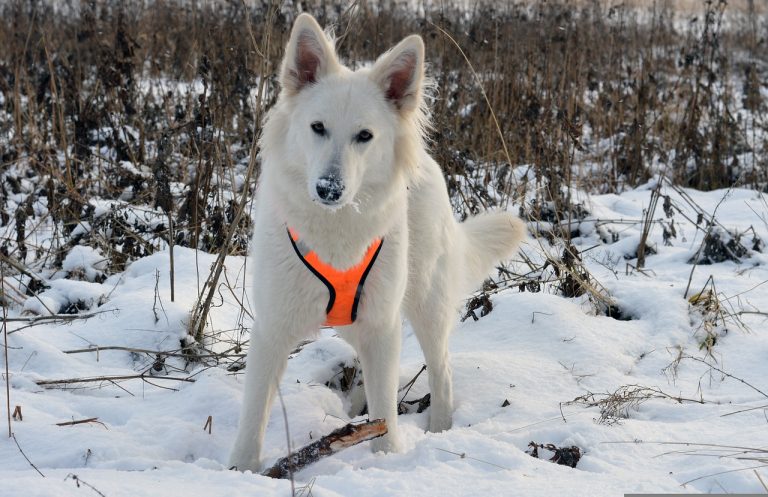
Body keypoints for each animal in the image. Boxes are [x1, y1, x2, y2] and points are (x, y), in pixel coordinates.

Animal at [228, 14, 528, 472]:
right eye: (318, 128)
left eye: (364, 136)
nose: (329, 189)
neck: (336, 231)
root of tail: (427, 161)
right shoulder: (272, 328)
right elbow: (253, 413)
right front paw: (241, 471)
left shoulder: (380, 324)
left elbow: (386, 413)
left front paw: (385, 461)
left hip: (423, 304)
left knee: (441, 370)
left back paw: (439, 428)